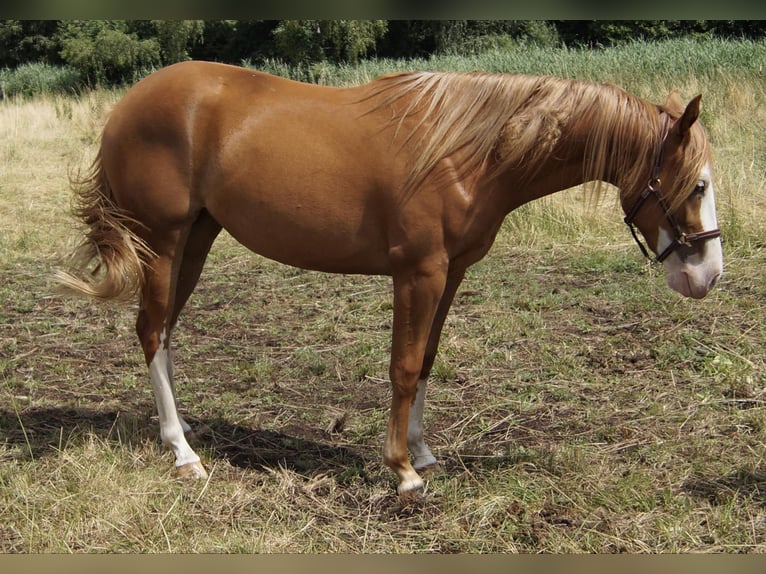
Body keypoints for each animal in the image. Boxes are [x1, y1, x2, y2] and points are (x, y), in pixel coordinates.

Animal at [57, 59, 724, 500]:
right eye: (697, 185)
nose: (707, 274)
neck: (468, 153)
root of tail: (129, 103)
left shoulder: (451, 274)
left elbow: (426, 360)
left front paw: (424, 455)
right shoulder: (417, 274)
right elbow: (403, 366)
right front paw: (401, 470)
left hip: (195, 239)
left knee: (164, 331)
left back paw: (182, 431)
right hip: (162, 241)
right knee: (151, 330)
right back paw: (183, 453)